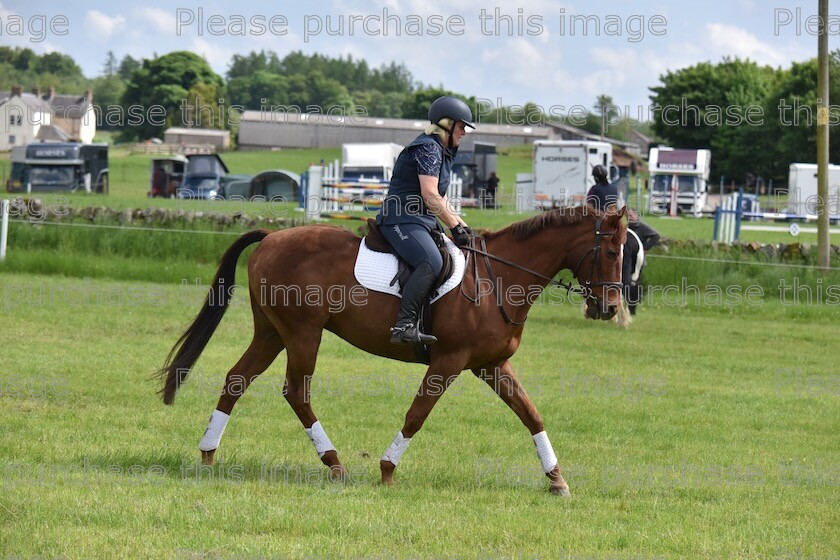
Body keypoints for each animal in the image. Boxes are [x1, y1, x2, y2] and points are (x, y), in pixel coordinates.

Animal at [158, 206, 624, 494]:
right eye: (612, 250)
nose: (610, 308)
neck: (499, 279)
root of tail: (272, 236)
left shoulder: (493, 365)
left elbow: (531, 414)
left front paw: (557, 480)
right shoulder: (448, 361)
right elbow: (417, 414)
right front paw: (387, 470)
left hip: (272, 332)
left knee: (237, 379)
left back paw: (208, 454)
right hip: (304, 333)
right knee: (296, 391)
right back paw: (334, 462)